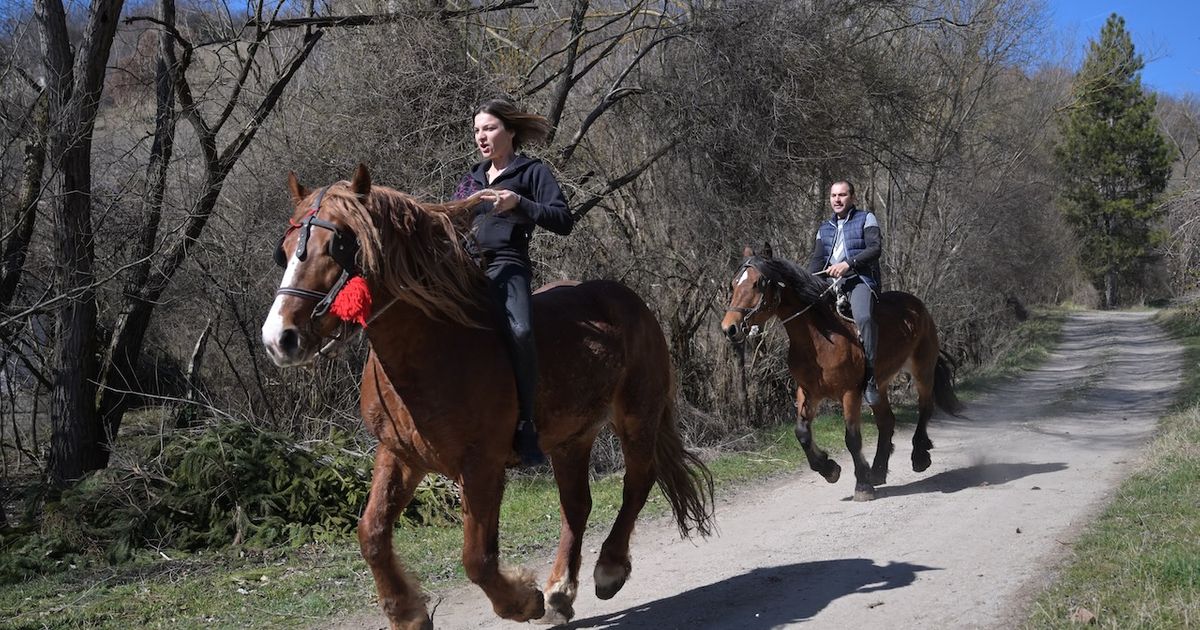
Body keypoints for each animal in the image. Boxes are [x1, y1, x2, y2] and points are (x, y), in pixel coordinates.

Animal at [262, 163, 710, 628]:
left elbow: (477, 557)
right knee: (577, 506)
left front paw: (522, 601)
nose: (280, 339)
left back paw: (608, 569)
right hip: (571, 439)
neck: (431, 347)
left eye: (339, 245)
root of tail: (628, 300)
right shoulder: (400, 455)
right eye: (286, 249)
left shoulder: (481, 465)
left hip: (637, 416)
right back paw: (560, 591)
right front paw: (408, 613)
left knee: (637, 481)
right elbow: (371, 533)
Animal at [715, 244, 960, 501]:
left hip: (922, 369)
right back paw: (878, 471)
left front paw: (862, 485)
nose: (729, 328)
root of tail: (917, 305)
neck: (821, 338)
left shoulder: (849, 393)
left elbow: (852, 438)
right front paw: (829, 468)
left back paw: (919, 457)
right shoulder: (808, 392)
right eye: (734, 284)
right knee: (886, 421)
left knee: (925, 407)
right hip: (879, 386)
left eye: (759, 283)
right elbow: (802, 433)